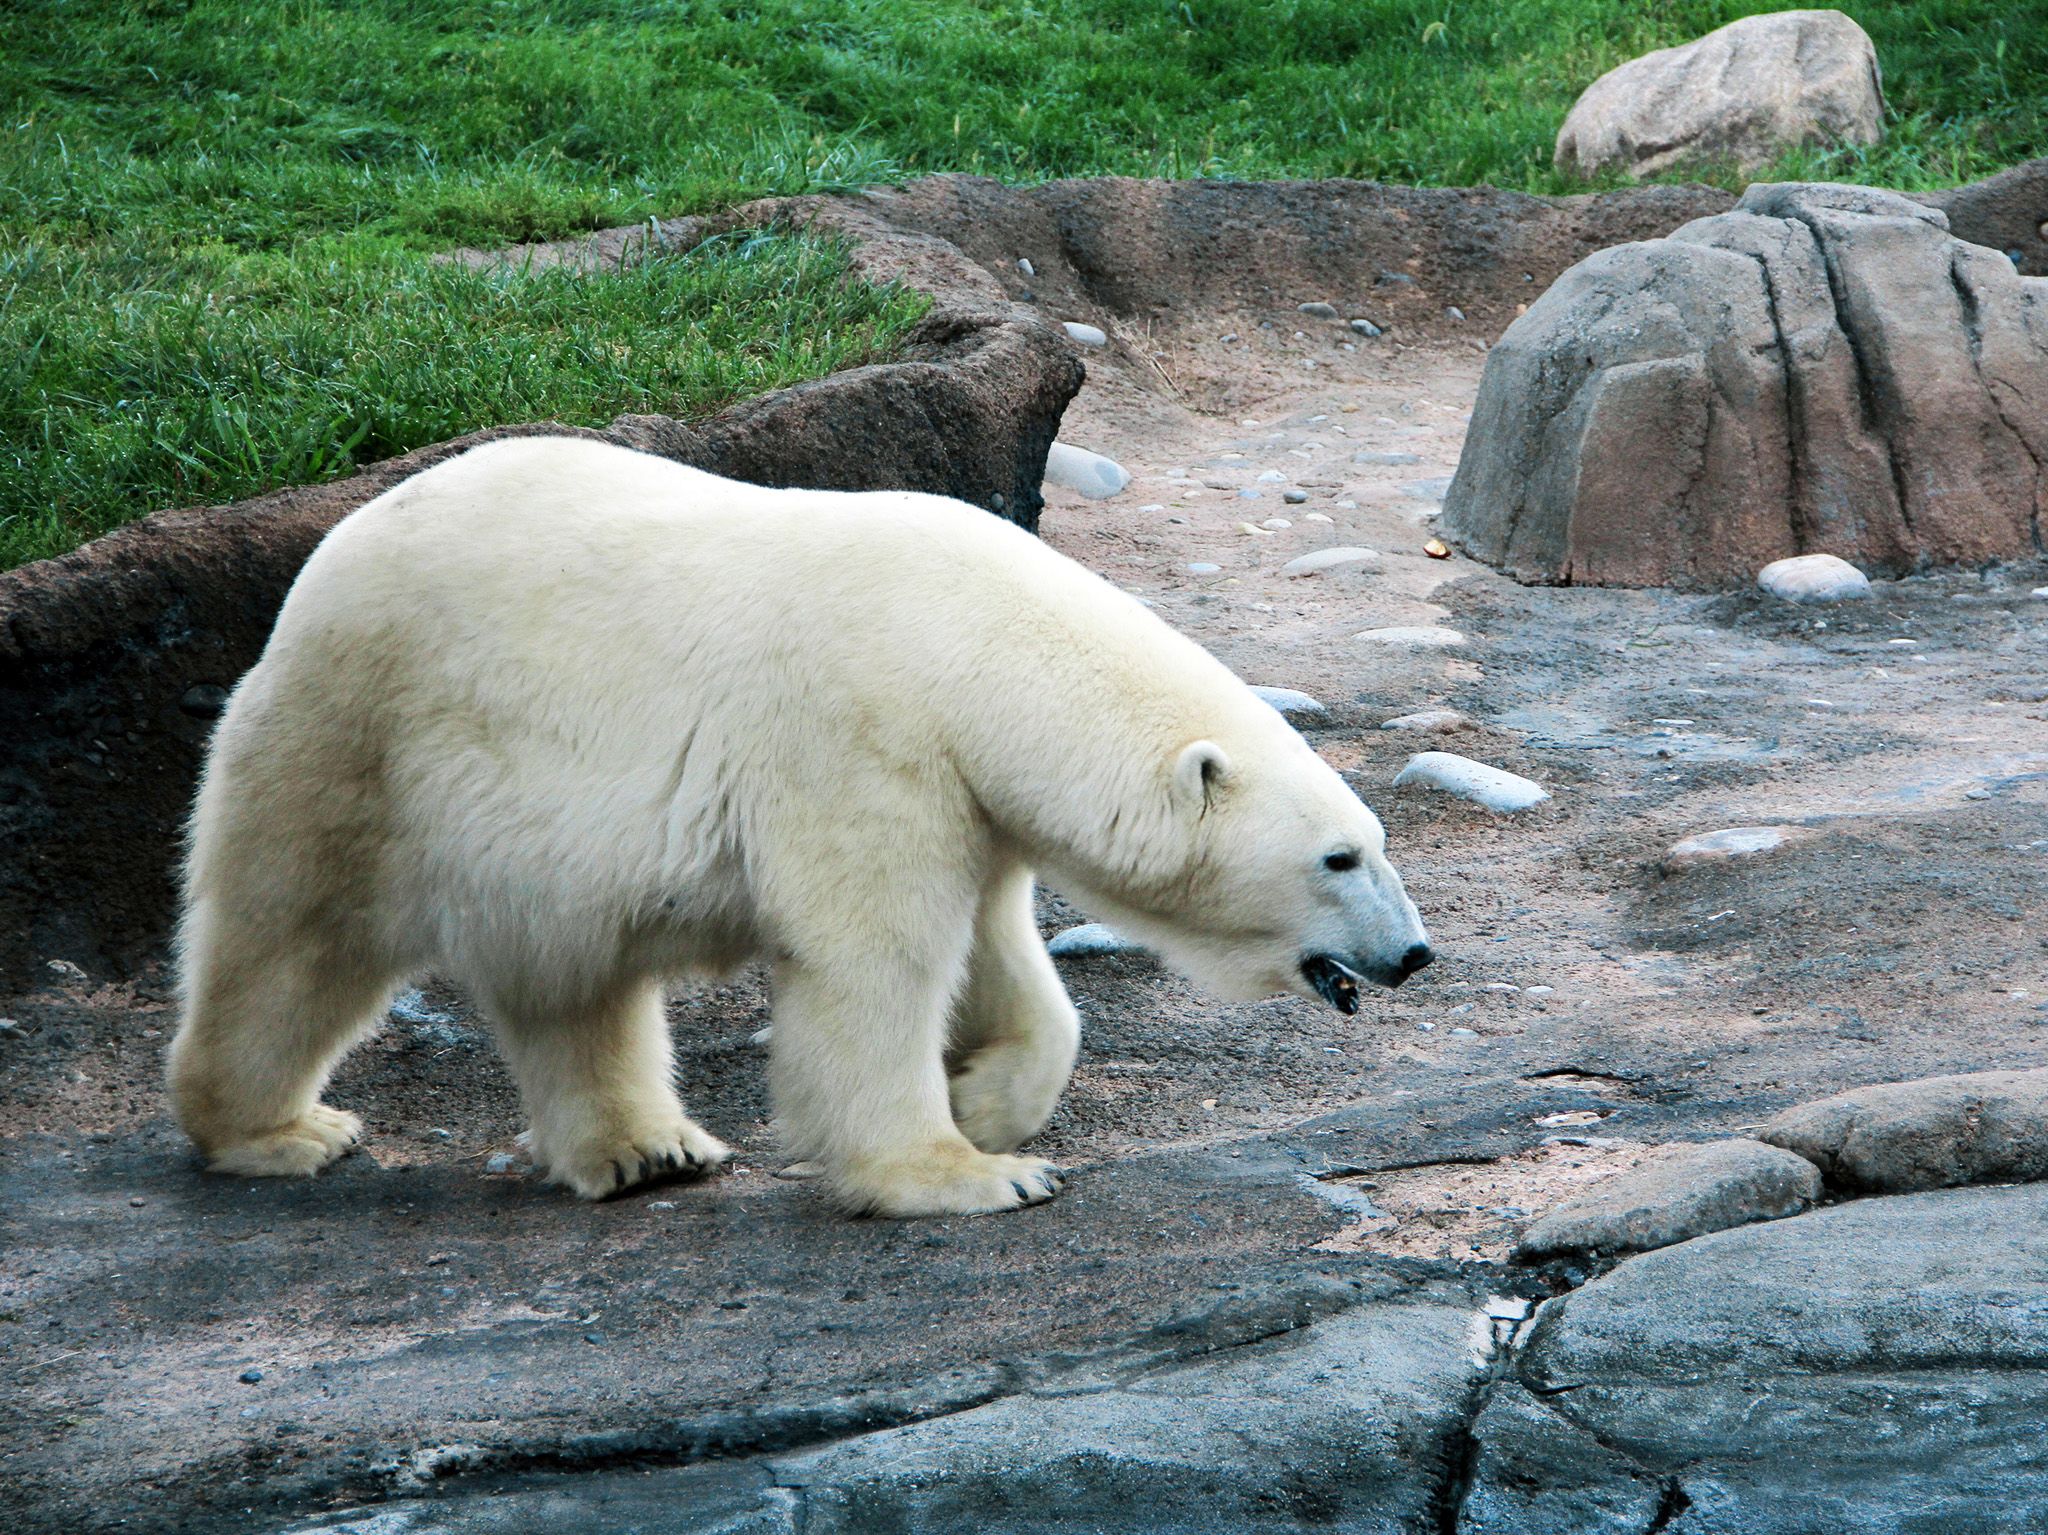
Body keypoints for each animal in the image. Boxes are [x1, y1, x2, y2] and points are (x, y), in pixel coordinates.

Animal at [167, 437, 1433, 1219]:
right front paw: (964, 1171)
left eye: (1371, 839)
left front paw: (988, 1098)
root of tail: (327, 556)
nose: (1413, 951)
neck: (972, 640)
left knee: (572, 982)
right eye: (1338, 855)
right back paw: (279, 1128)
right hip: (366, 738)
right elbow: (878, 959)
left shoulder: (962, 791)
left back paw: (647, 1148)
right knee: (294, 932)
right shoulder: (856, 737)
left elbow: (997, 956)